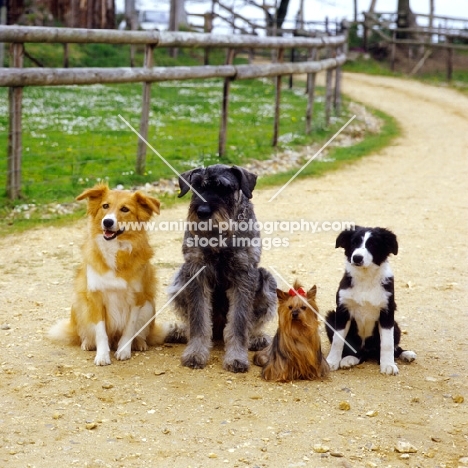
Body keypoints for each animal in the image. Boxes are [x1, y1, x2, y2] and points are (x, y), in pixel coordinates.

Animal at [49, 183, 166, 366]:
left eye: (125, 209)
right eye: (105, 206)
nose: (108, 222)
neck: (115, 249)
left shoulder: (137, 298)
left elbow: (130, 328)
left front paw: (124, 351)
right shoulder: (96, 297)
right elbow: (100, 332)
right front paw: (102, 355)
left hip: (149, 306)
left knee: (139, 333)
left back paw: (139, 342)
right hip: (80, 304)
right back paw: (88, 343)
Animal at [168, 164, 278, 372]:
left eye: (225, 188)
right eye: (196, 187)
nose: (202, 212)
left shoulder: (244, 275)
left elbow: (239, 323)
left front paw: (236, 357)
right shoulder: (196, 272)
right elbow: (198, 320)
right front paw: (195, 353)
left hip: (267, 281)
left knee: (252, 324)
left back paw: (256, 338)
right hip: (178, 281)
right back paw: (179, 331)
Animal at [326, 225, 416, 374]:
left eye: (373, 245)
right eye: (354, 243)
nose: (357, 258)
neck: (365, 279)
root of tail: (367, 350)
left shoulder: (387, 312)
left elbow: (387, 343)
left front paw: (388, 365)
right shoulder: (342, 310)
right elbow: (337, 340)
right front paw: (332, 361)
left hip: (395, 325)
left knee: (392, 347)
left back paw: (406, 354)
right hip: (330, 317)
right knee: (358, 353)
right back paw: (349, 359)